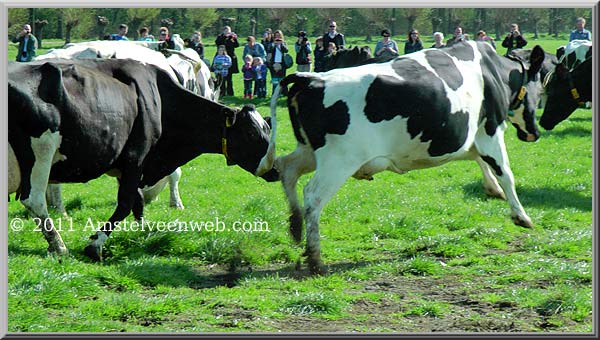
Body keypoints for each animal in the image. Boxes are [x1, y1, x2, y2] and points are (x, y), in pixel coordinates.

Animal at [8, 58, 278, 260]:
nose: (274, 170)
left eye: (267, 128)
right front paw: (96, 244)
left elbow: (137, 204)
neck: (158, 97)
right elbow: (126, 203)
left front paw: (142, 234)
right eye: (251, 133)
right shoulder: (136, 158)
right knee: (34, 200)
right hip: (42, 151)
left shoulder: (130, 166)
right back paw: (59, 246)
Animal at [255, 40, 548, 274]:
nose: (534, 132)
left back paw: (295, 227)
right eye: (542, 87)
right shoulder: (490, 130)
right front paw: (521, 216)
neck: (492, 70)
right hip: (338, 161)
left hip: (308, 151)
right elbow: (505, 172)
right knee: (313, 195)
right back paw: (315, 259)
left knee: (287, 168)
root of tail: (310, 78)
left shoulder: (469, 136)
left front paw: (492, 188)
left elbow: (478, 160)